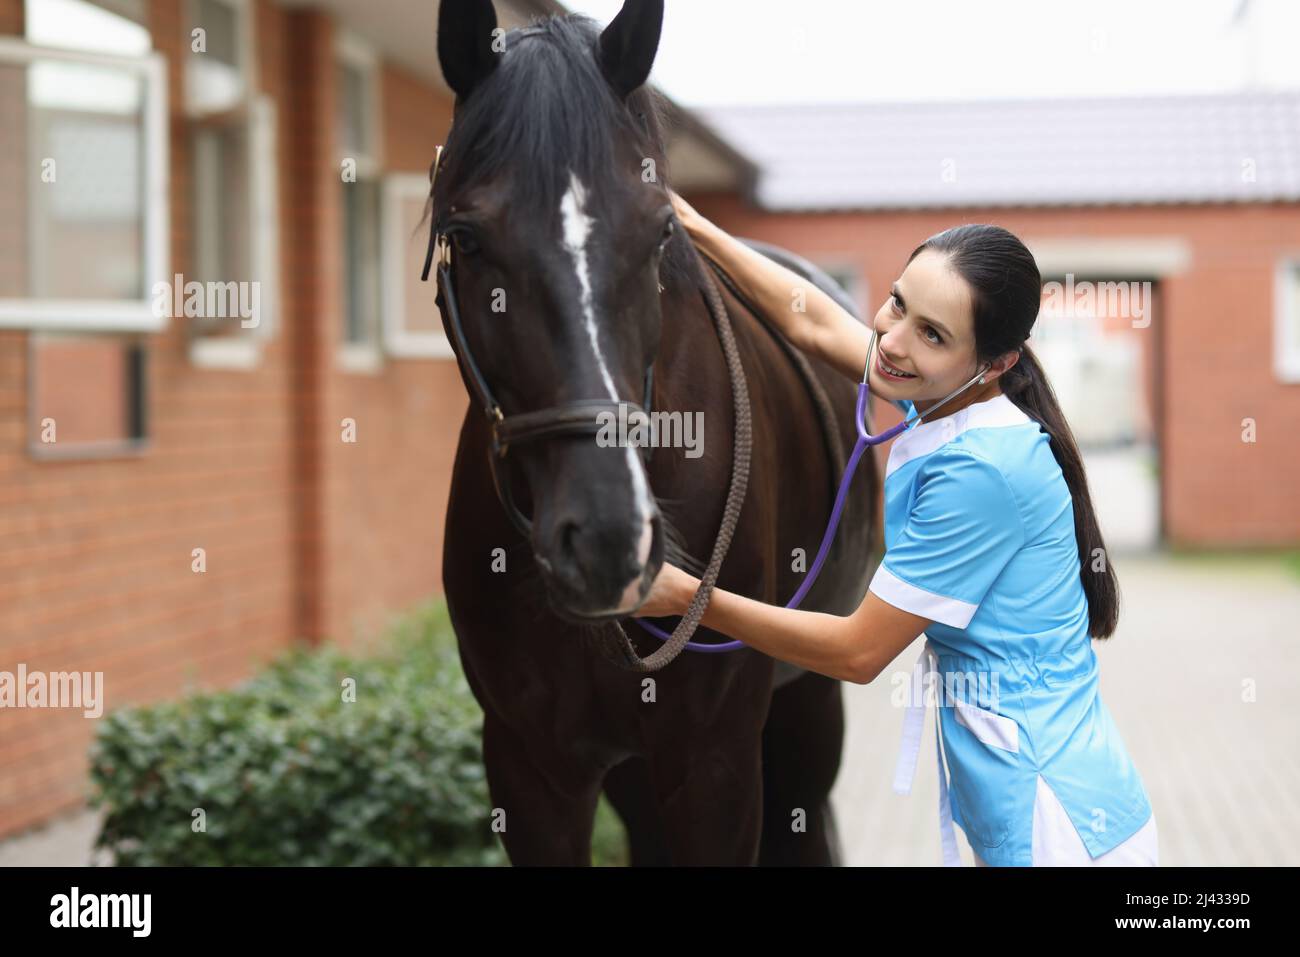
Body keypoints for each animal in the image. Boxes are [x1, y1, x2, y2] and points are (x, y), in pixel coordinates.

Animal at [431, 0, 880, 865]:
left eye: (662, 231)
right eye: (466, 239)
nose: (609, 539)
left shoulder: (716, 766)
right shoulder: (531, 768)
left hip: (808, 705)